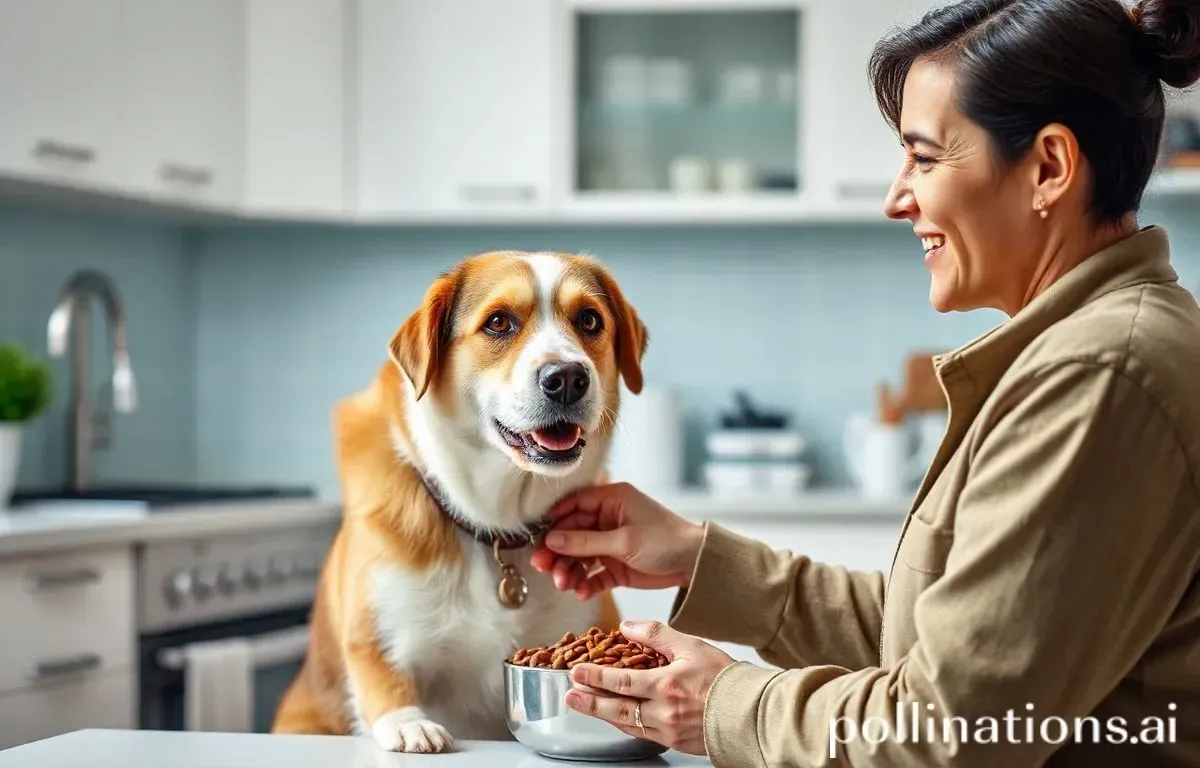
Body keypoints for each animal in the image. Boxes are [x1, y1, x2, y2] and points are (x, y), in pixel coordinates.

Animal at [271, 250, 648, 748]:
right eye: (498, 322)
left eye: (589, 319)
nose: (567, 377)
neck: (496, 525)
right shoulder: (377, 637)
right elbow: (383, 680)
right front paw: (410, 726)